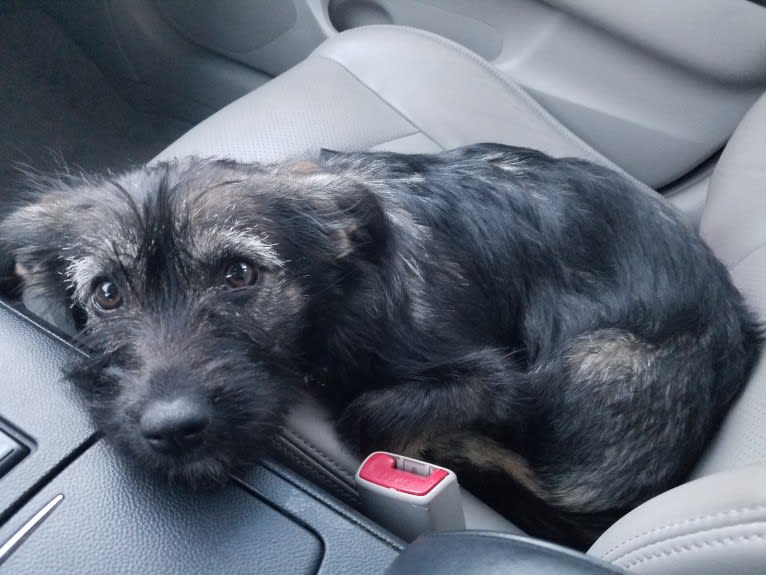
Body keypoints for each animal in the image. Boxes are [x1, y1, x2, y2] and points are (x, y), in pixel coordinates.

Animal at [0, 145, 760, 548]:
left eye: (239, 273)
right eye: (107, 293)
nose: (174, 428)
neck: (335, 295)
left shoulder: (493, 377)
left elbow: (370, 414)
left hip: (600, 360)